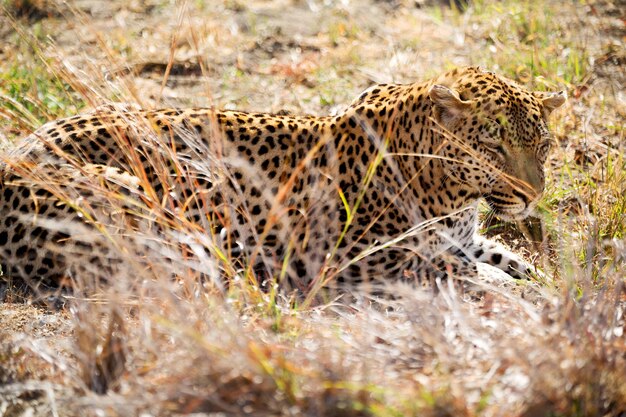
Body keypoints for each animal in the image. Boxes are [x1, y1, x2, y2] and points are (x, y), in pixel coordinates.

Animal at [0, 66, 564, 292]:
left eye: (542, 145)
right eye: (492, 145)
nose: (530, 195)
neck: (453, 193)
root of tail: (14, 154)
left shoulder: (463, 238)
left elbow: (509, 259)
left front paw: (549, 283)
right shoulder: (354, 258)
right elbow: (464, 271)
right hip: (147, 194)